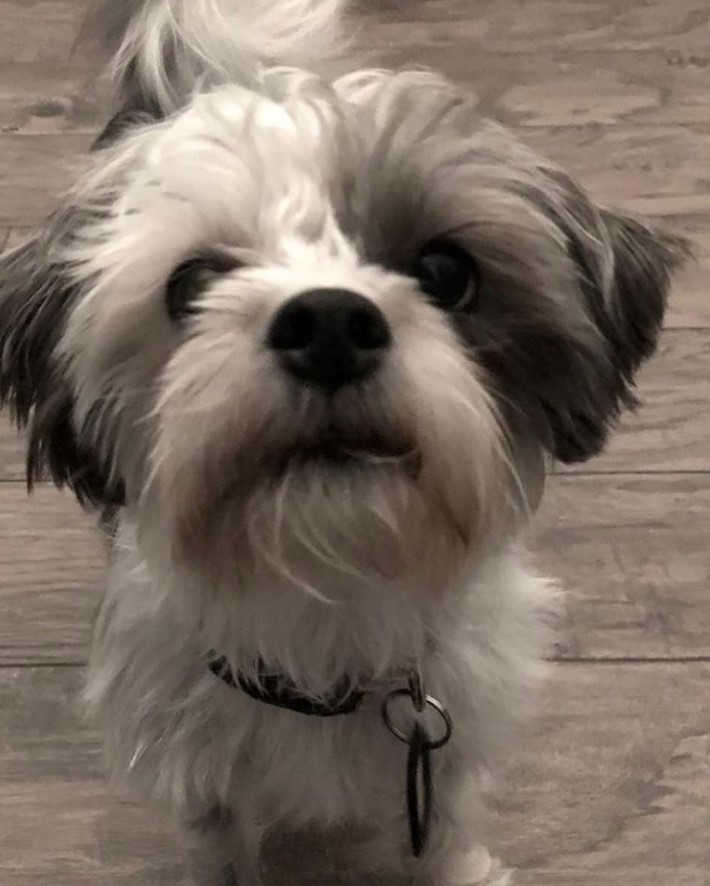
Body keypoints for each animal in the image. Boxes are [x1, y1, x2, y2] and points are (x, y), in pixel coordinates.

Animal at [0, 1, 688, 886]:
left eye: (446, 272)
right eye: (191, 284)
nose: (328, 323)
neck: (327, 612)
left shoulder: (444, 756)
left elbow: (445, 833)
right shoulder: (200, 772)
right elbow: (218, 845)